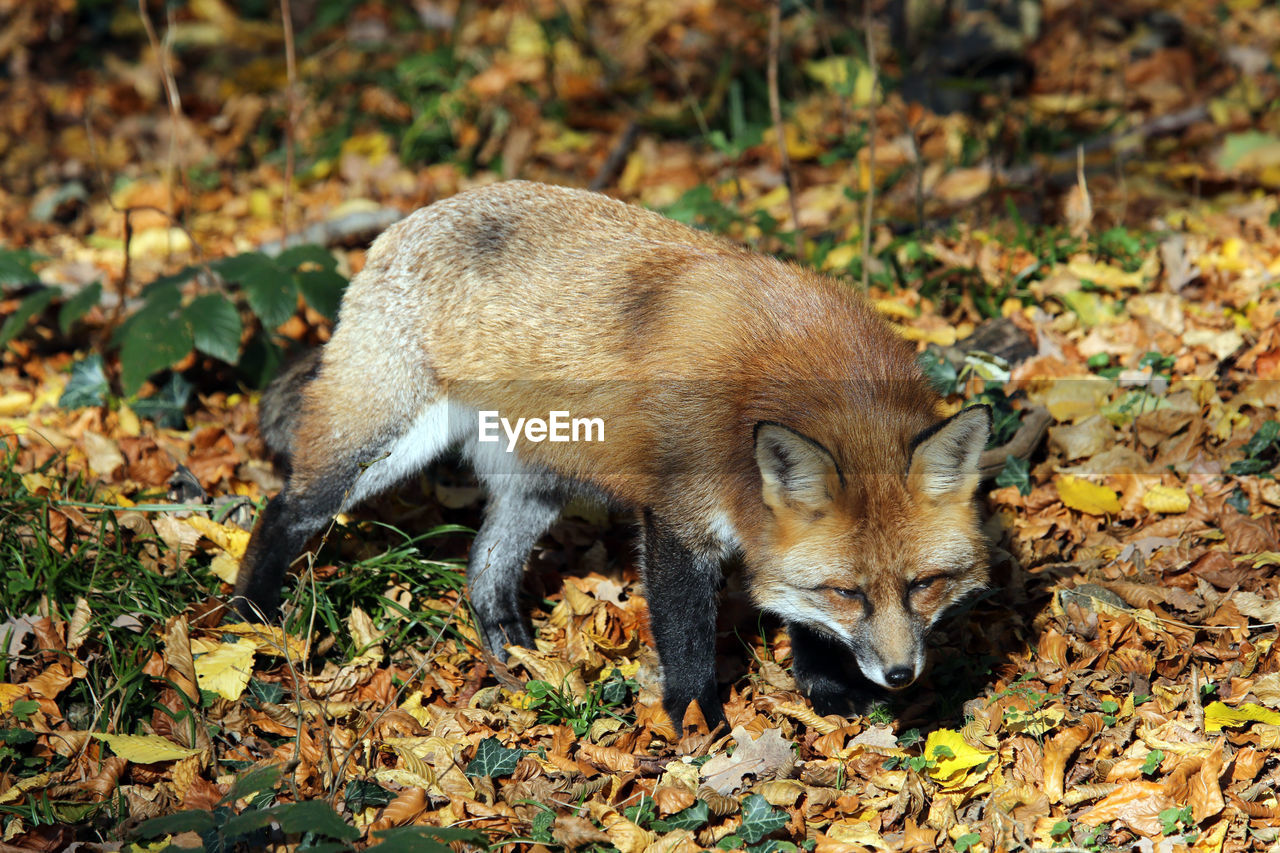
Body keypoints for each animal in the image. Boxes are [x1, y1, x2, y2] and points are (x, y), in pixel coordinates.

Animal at [241, 179, 998, 732]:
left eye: (925, 583)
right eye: (848, 592)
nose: (900, 676)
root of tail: (403, 222)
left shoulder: (769, 525)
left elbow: (796, 615)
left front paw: (824, 689)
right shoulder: (677, 517)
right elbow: (687, 639)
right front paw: (696, 723)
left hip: (536, 484)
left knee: (483, 570)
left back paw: (517, 656)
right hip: (378, 447)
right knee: (283, 509)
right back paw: (252, 620)